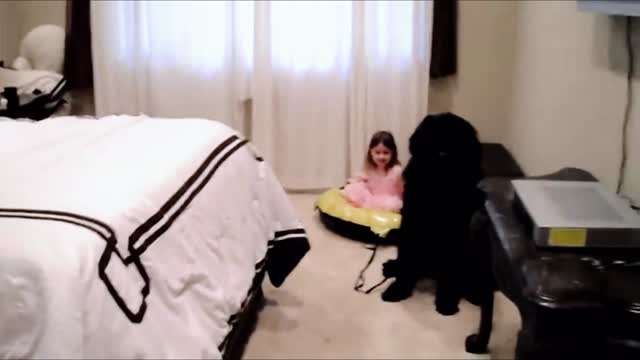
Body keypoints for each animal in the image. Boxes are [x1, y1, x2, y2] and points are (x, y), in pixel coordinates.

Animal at [380, 112, 484, 316]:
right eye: (431, 138)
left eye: (457, 142)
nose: (442, 156)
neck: (438, 189)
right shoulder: (412, 226)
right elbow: (407, 262)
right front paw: (398, 289)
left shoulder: (456, 237)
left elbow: (451, 273)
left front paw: (446, 302)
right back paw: (391, 267)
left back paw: (475, 293)